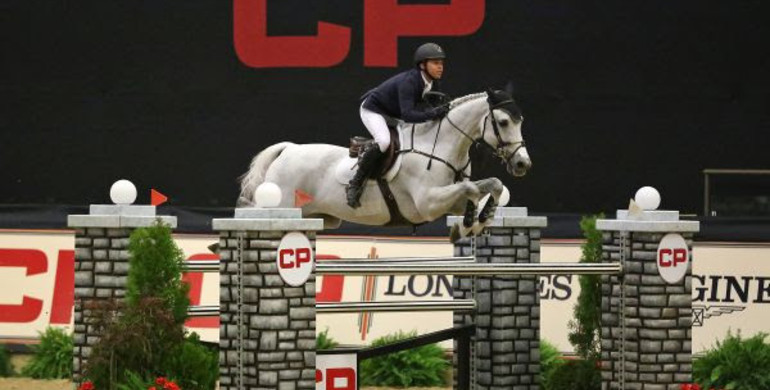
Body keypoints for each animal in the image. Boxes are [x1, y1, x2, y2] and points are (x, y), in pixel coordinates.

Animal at [237, 89, 532, 235]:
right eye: (503, 122)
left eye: (520, 121)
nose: (523, 164)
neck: (439, 147)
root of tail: (289, 149)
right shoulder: (427, 203)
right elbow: (471, 189)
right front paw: (470, 223)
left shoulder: (449, 200)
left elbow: (491, 185)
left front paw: (478, 219)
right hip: (280, 204)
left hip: (318, 217)